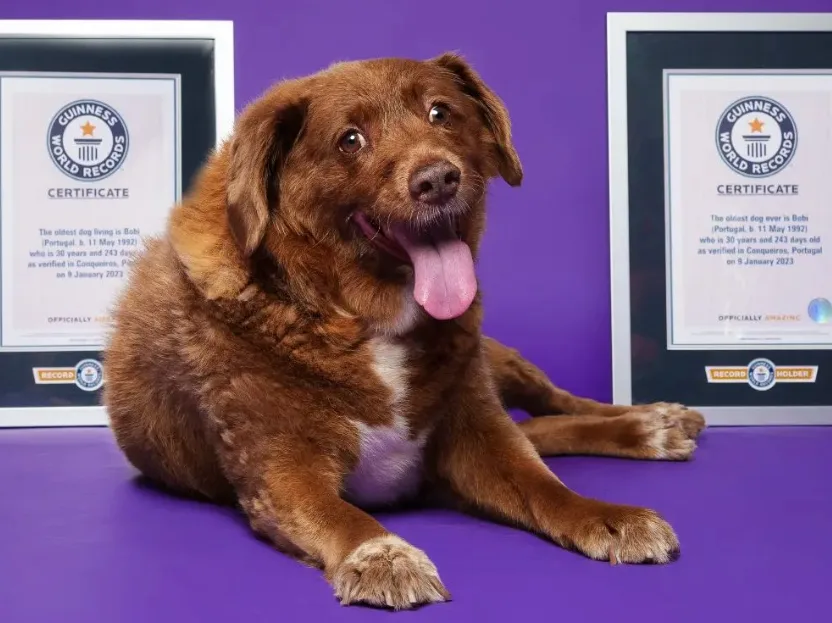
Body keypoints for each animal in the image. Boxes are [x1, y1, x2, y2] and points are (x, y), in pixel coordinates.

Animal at [102, 52, 704, 608]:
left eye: (441, 112)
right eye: (350, 140)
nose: (437, 178)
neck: (362, 318)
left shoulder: (478, 428)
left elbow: (544, 485)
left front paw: (608, 516)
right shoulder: (282, 470)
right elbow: (340, 516)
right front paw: (383, 556)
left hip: (495, 358)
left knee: (556, 406)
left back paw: (653, 424)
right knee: (540, 429)